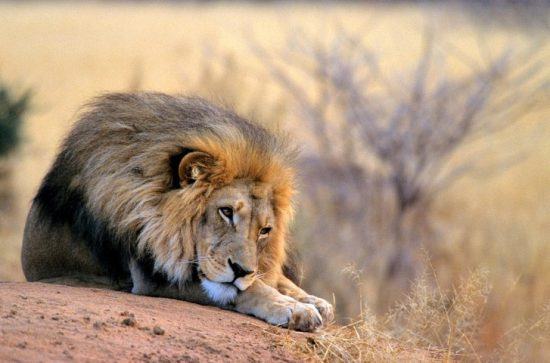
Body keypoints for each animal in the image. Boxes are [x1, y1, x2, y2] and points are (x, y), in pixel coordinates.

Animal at [21, 93, 334, 332]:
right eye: (226, 212)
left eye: (265, 230)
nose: (241, 270)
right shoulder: (151, 276)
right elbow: (246, 290)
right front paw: (294, 309)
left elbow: (270, 280)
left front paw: (313, 301)